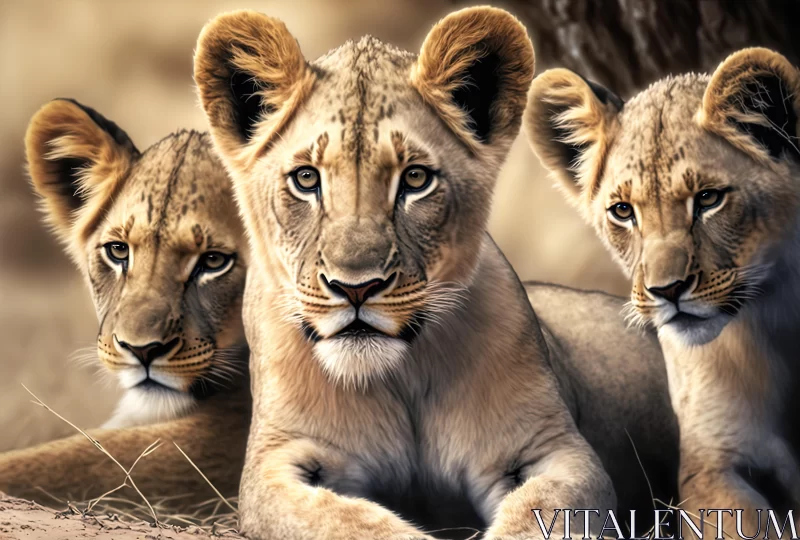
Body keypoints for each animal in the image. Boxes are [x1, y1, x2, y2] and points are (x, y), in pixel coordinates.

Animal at [193, 7, 678, 538]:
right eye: (306, 179)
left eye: (415, 179)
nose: (355, 288)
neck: (400, 375)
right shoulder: (275, 462)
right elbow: (342, 519)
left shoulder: (552, 449)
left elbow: (537, 510)